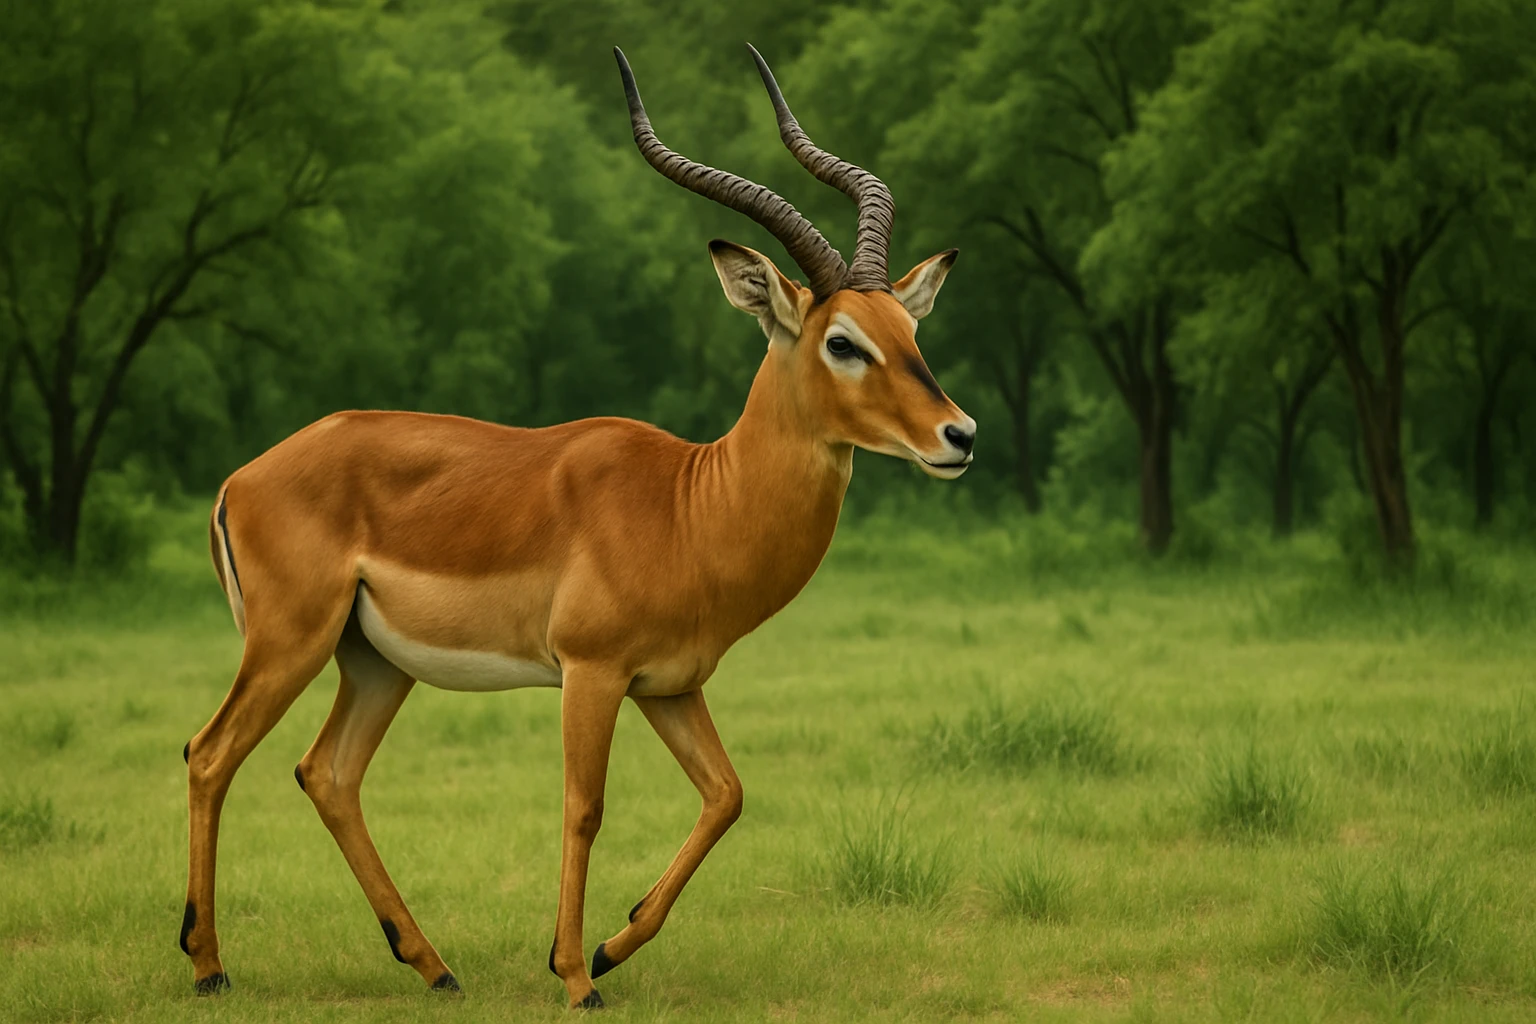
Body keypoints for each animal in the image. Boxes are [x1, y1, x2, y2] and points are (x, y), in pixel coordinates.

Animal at [179, 45, 975, 1010]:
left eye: (909, 329)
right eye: (843, 342)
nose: (959, 436)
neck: (691, 504)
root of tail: (241, 479)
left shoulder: (669, 685)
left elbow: (728, 794)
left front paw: (613, 945)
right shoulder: (591, 674)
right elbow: (584, 807)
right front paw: (574, 976)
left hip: (373, 662)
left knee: (326, 773)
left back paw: (435, 967)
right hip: (289, 642)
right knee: (210, 753)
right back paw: (210, 966)